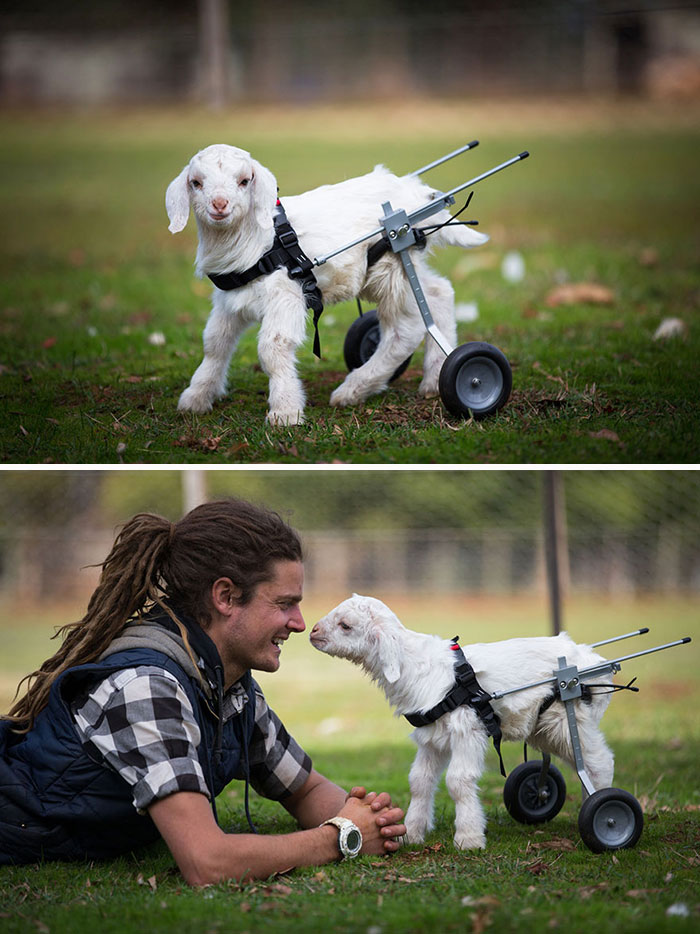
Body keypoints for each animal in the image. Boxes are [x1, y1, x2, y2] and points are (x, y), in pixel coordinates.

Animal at [167, 144, 490, 426]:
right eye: (196, 183)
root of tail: (419, 194)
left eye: (244, 181)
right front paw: (196, 398)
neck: (257, 242)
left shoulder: (284, 294)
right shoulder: (230, 300)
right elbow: (215, 343)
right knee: (438, 293)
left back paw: (353, 389)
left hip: (390, 263)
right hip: (398, 265)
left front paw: (285, 412)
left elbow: (273, 348)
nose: (219, 205)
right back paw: (432, 380)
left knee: (405, 330)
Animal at [308, 596, 616, 852]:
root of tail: (593, 658)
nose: (313, 632)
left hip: (571, 718)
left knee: (599, 762)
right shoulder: (431, 737)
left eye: (345, 625)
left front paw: (468, 838)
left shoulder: (467, 728)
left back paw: (604, 812)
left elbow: (458, 781)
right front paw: (411, 833)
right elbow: (419, 781)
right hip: (543, 726)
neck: (416, 667)